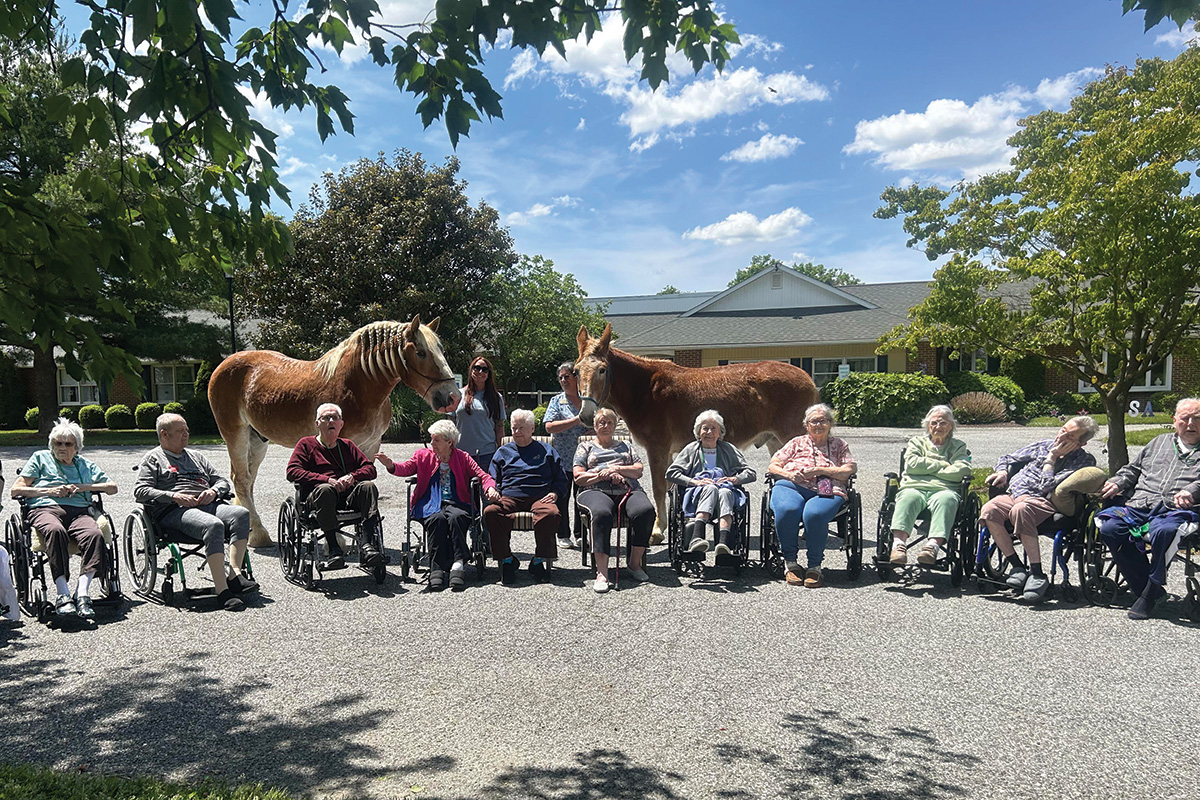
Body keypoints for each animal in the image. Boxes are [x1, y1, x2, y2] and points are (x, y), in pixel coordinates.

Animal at [210, 316, 458, 546]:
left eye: (441, 349)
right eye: (421, 352)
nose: (452, 397)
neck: (357, 386)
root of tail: (224, 364)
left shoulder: (370, 446)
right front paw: (337, 540)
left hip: (257, 439)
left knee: (249, 480)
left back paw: (252, 532)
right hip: (235, 433)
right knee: (241, 479)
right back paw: (260, 533)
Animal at [571, 321, 816, 534]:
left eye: (602, 370)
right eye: (576, 371)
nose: (586, 415)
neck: (645, 389)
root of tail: (808, 378)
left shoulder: (657, 448)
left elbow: (658, 488)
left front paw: (658, 529)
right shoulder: (668, 452)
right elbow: (668, 487)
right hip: (776, 442)